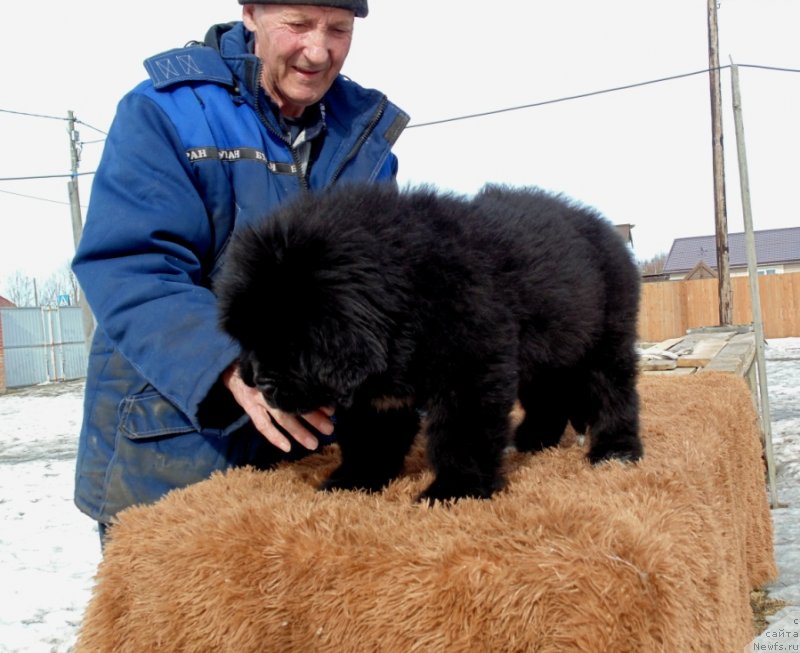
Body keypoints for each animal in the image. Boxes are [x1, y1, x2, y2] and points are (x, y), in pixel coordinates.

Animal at [217, 181, 644, 502]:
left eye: (290, 339)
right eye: (247, 337)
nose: (258, 383)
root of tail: (605, 228)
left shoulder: (471, 371)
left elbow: (460, 435)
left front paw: (455, 490)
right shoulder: (377, 395)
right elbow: (369, 440)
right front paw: (352, 482)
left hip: (606, 339)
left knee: (612, 393)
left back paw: (616, 450)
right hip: (548, 351)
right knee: (549, 397)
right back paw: (531, 441)